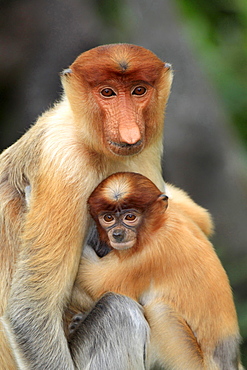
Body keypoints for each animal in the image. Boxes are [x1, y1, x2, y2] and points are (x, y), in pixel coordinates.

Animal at [0, 42, 212, 368]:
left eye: (139, 90)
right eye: (107, 92)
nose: (130, 133)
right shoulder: (66, 165)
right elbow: (31, 310)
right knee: (120, 313)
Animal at [74, 173, 243, 370]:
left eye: (130, 217)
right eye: (108, 218)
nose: (117, 234)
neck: (159, 225)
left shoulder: (148, 256)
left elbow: (97, 282)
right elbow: (202, 219)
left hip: (188, 361)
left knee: (159, 310)